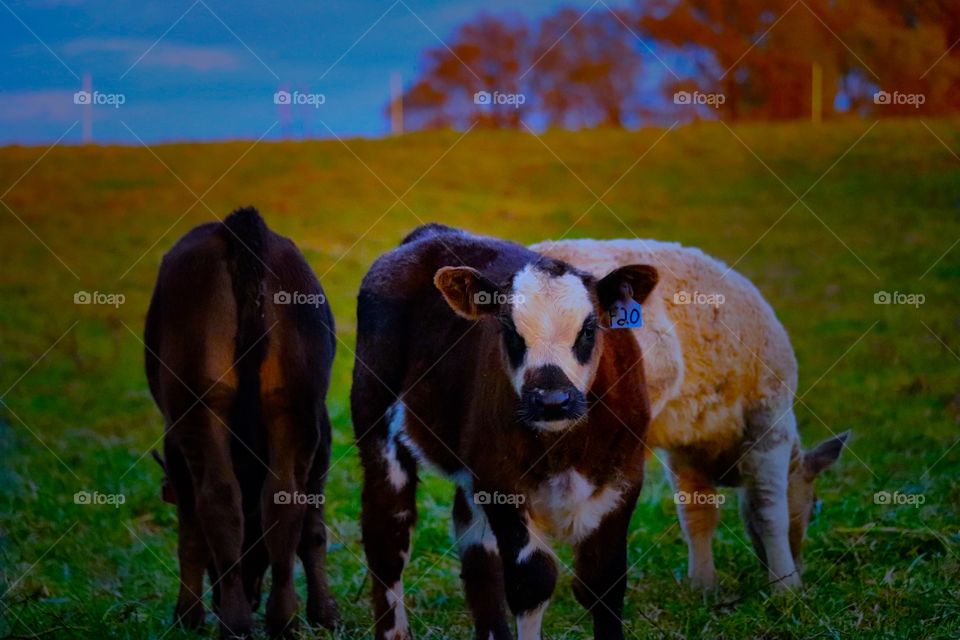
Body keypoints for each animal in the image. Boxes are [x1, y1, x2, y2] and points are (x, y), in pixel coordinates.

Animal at [142, 208, 338, 636]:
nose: (251, 591)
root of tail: (238, 231)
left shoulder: (173, 444)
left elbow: (190, 531)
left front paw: (187, 616)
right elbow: (311, 525)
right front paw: (324, 614)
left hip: (201, 400)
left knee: (217, 497)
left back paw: (234, 620)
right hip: (293, 400)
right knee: (283, 496)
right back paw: (282, 619)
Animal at [352, 224, 660, 640]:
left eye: (589, 329)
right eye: (510, 330)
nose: (551, 400)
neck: (564, 447)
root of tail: (431, 232)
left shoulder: (625, 478)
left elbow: (604, 581)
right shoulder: (500, 480)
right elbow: (532, 581)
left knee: (476, 547)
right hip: (376, 423)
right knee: (387, 533)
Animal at [536, 239, 852, 592]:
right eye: (814, 507)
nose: (802, 565)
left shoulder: (684, 447)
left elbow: (696, 512)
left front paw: (702, 585)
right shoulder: (770, 416)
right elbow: (770, 510)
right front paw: (787, 587)